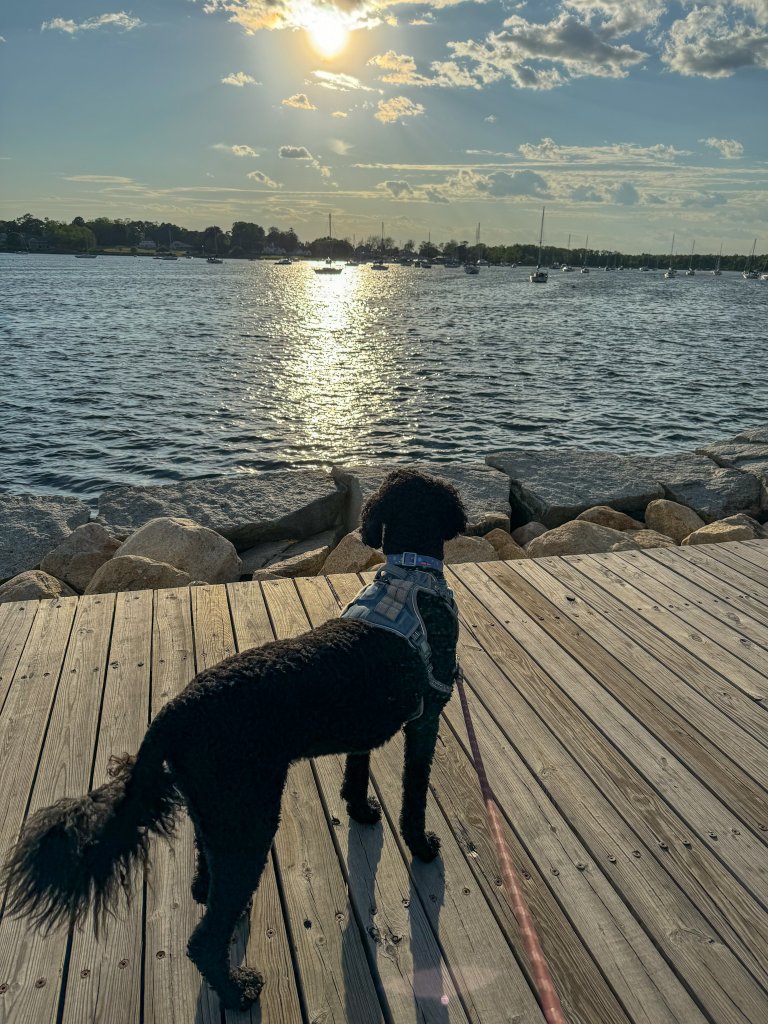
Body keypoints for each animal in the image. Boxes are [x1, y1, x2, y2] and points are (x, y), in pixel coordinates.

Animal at [3, 468, 466, 1007]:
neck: (410, 575)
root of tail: (173, 713)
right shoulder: (427, 717)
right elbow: (415, 791)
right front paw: (422, 843)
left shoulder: (365, 727)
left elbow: (357, 769)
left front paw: (361, 809)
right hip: (250, 815)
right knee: (204, 939)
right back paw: (237, 989)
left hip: (216, 804)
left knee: (207, 868)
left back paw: (211, 900)